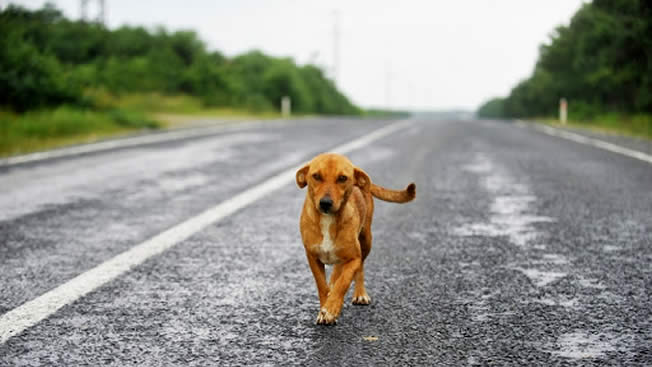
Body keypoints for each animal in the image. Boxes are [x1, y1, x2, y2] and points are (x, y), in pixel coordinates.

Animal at [296, 152, 416, 324]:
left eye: (342, 178)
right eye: (316, 176)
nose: (325, 203)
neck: (328, 220)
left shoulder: (354, 258)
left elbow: (344, 282)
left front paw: (331, 309)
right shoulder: (313, 257)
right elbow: (322, 285)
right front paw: (325, 307)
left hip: (366, 241)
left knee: (359, 270)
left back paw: (360, 294)